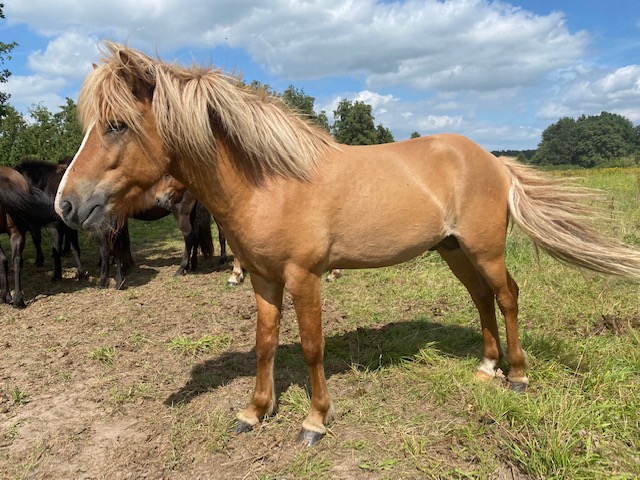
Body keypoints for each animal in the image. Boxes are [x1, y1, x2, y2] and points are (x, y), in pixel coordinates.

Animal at [53, 44, 640, 446]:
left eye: (116, 125)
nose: (66, 205)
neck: (271, 181)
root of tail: (492, 160)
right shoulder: (264, 279)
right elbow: (265, 344)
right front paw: (254, 412)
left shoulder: (304, 277)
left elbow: (313, 347)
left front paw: (314, 421)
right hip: (453, 250)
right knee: (480, 298)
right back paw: (486, 366)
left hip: (484, 249)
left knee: (508, 295)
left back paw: (516, 376)